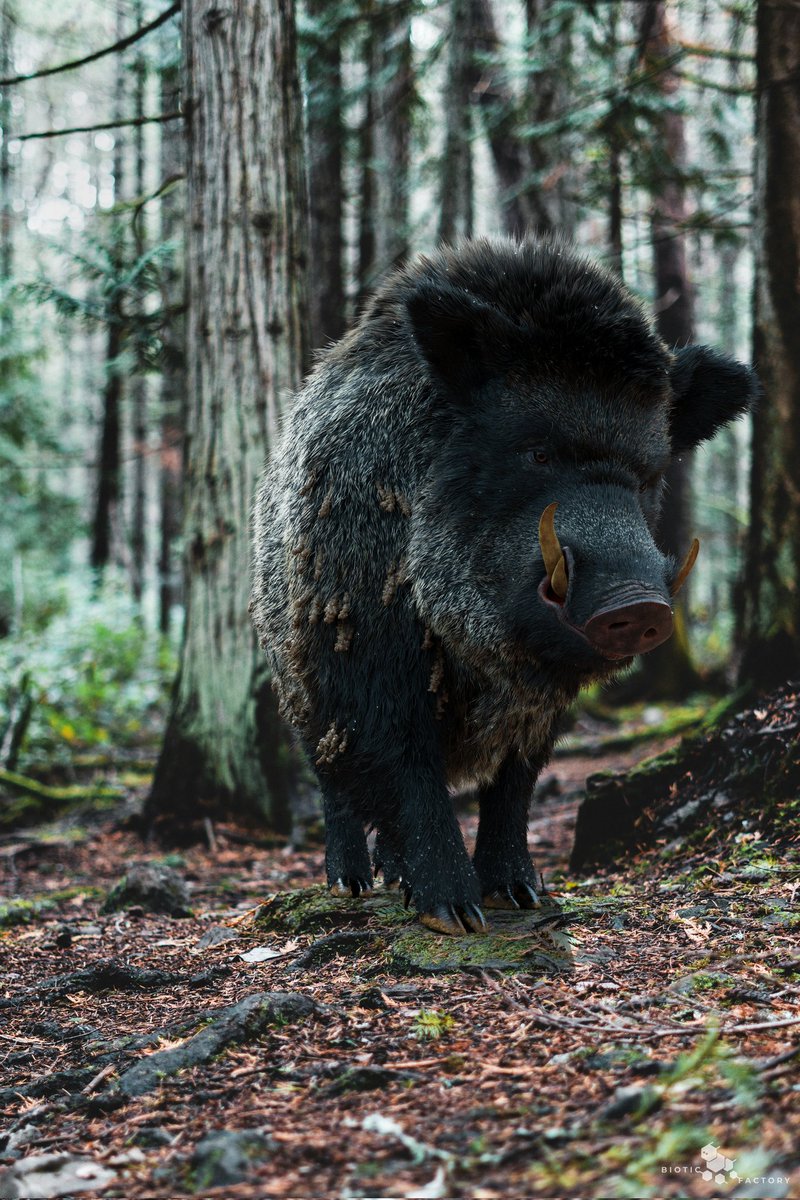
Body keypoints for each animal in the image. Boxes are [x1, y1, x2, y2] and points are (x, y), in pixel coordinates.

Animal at [251, 237, 757, 936]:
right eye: (537, 453)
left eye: (648, 474)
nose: (638, 603)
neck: (484, 654)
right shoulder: (373, 659)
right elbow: (409, 771)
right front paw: (454, 916)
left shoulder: (541, 704)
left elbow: (514, 783)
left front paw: (522, 896)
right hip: (299, 684)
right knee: (334, 781)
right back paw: (352, 884)